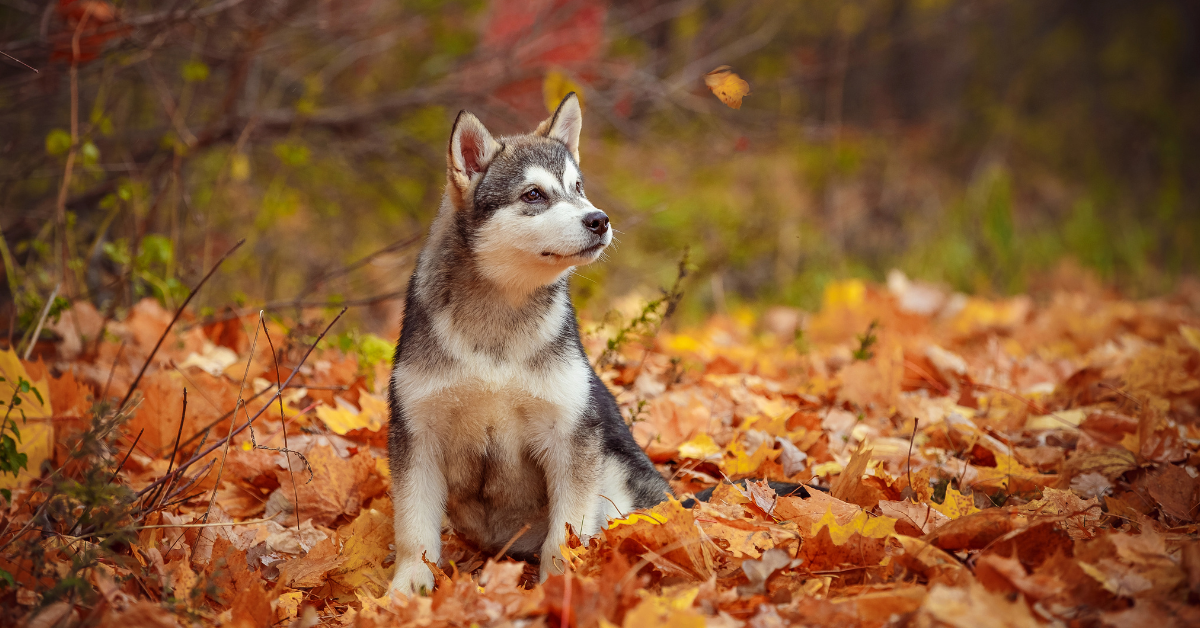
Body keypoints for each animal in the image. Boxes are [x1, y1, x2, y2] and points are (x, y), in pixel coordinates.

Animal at [386, 92, 676, 595]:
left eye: (577, 187)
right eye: (534, 195)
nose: (599, 220)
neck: (498, 324)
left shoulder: (571, 437)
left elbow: (566, 536)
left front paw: (558, 587)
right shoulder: (416, 436)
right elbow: (414, 531)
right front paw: (407, 589)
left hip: (614, 474)